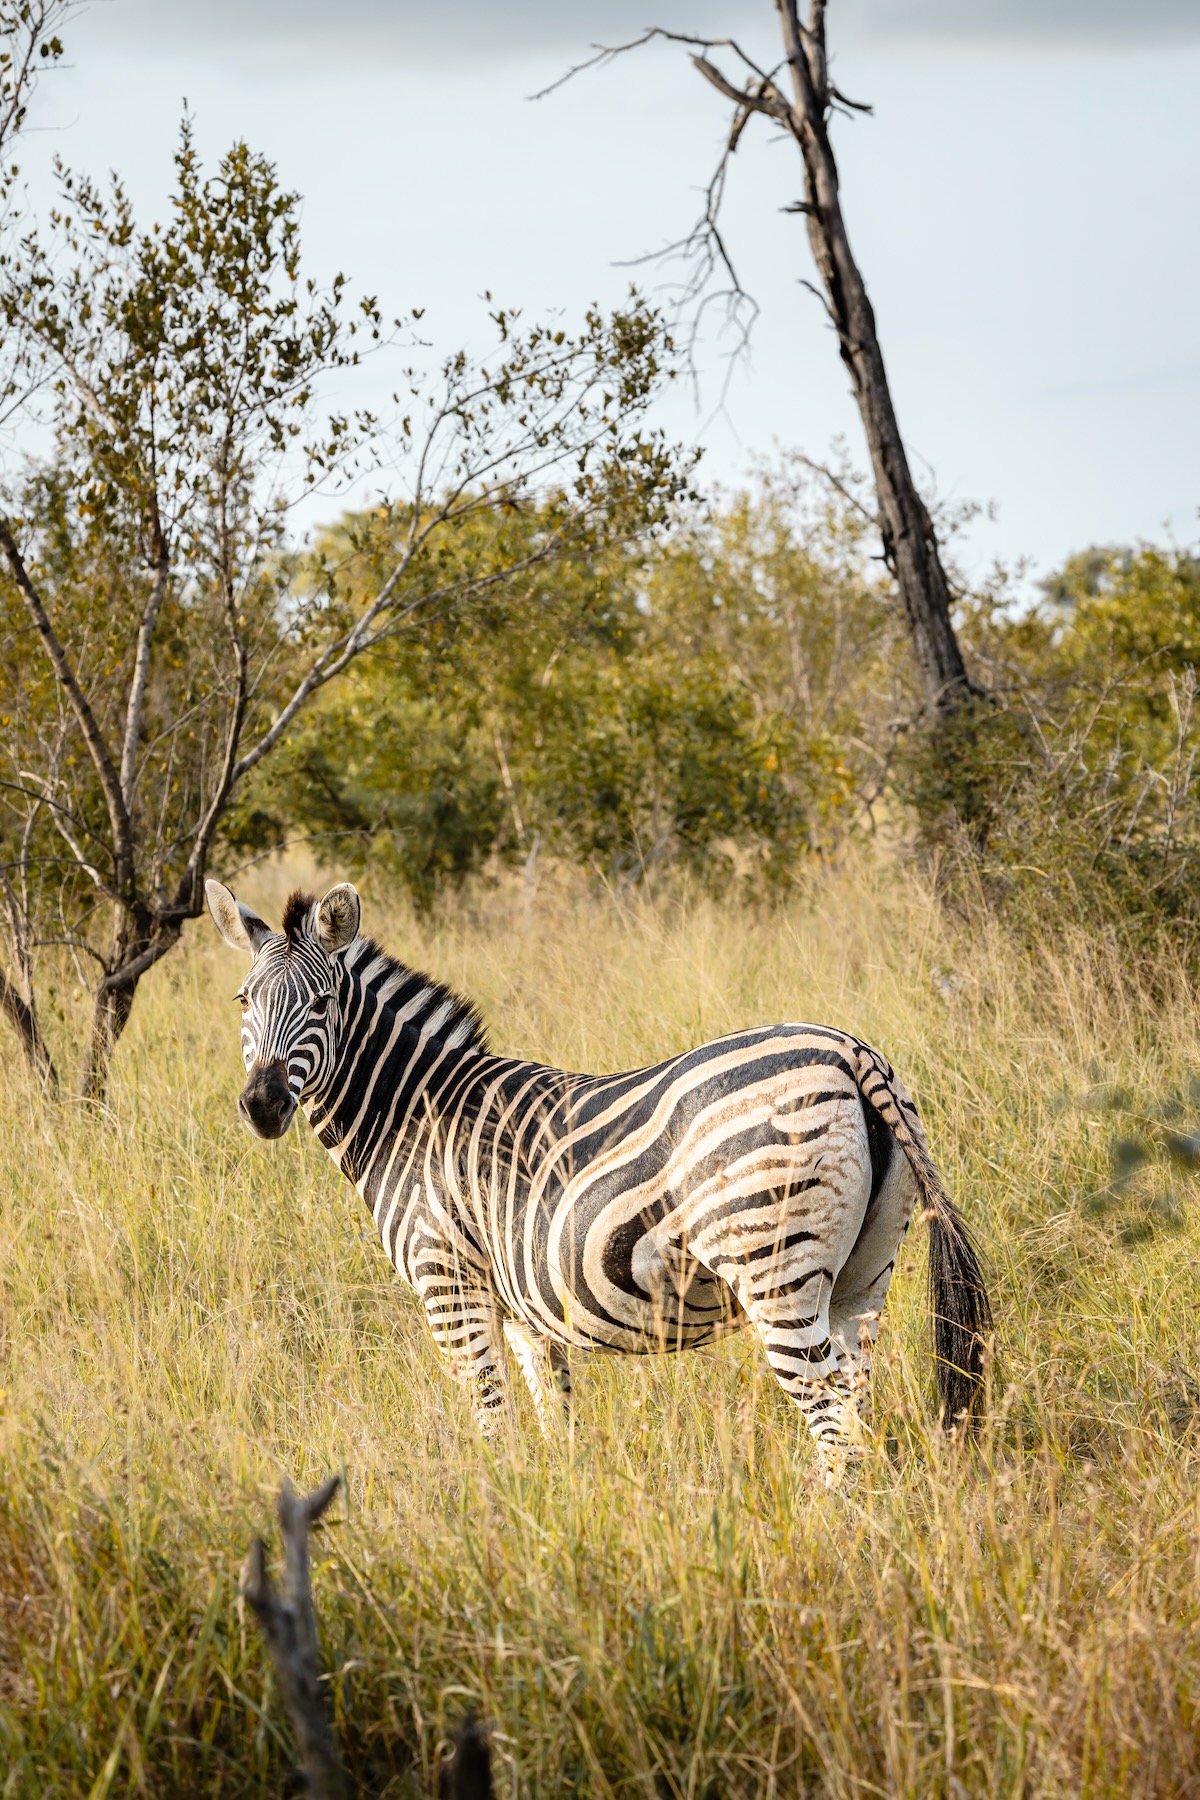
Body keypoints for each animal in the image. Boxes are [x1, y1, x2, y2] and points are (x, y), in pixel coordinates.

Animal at [208, 874, 993, 1476]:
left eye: (322, 1003)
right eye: (244, 1000)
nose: (263, 1105)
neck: (411, 1111)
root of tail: (850, 1051)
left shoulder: (449, 1284)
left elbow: (492, 1421)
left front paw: (495, 1514)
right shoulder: (523, 1306)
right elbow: (553, 1419)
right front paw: (560, 1512)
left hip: (773, 1266)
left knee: (832, 1424)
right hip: (864, 1273)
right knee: (856, 1406)